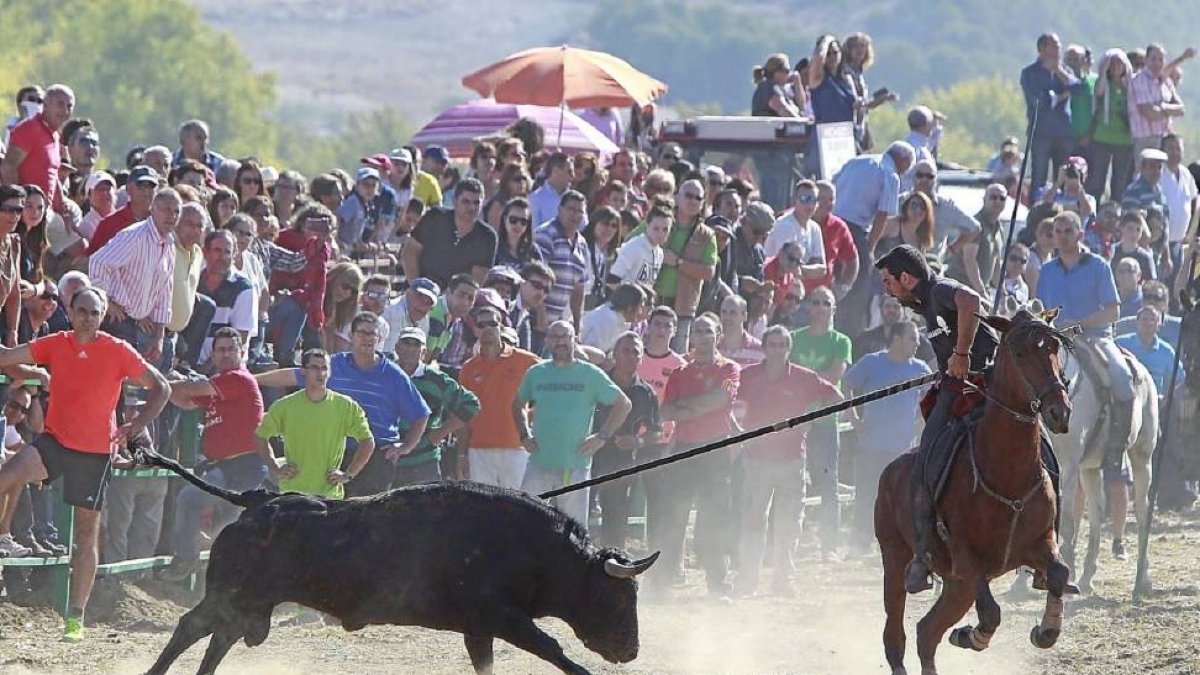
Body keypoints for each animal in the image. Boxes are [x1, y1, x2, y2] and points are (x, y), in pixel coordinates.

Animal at [144, 449, 662, 672]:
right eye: (619, 598)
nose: (631, 650)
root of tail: (257, 502)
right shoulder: (504, 618)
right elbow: (555, 651)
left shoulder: (479, 629)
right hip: (233, 597)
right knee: (191, 627)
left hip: (248, 606)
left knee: (216, 639)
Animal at [873, 309, 1080, 672]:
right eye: (1020, 352)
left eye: (1055, 348)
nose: (1060, 411)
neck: (1007, 476)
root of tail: (890, 471)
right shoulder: (968, 560)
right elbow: (991, 613)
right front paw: (971, 635)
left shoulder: (1040, 543)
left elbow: (1058, 573)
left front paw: (1045, 630)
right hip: (896, 557)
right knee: (895, 635)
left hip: (956, 586)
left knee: (926, 632)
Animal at [1056, 338, 1156, 590]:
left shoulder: (1068, 466)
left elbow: (1066, 520)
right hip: (1089, 468)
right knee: (1097, 511)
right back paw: (1087, 575)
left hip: (1142, 456)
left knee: (1142, 509)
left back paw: (1143, 577)